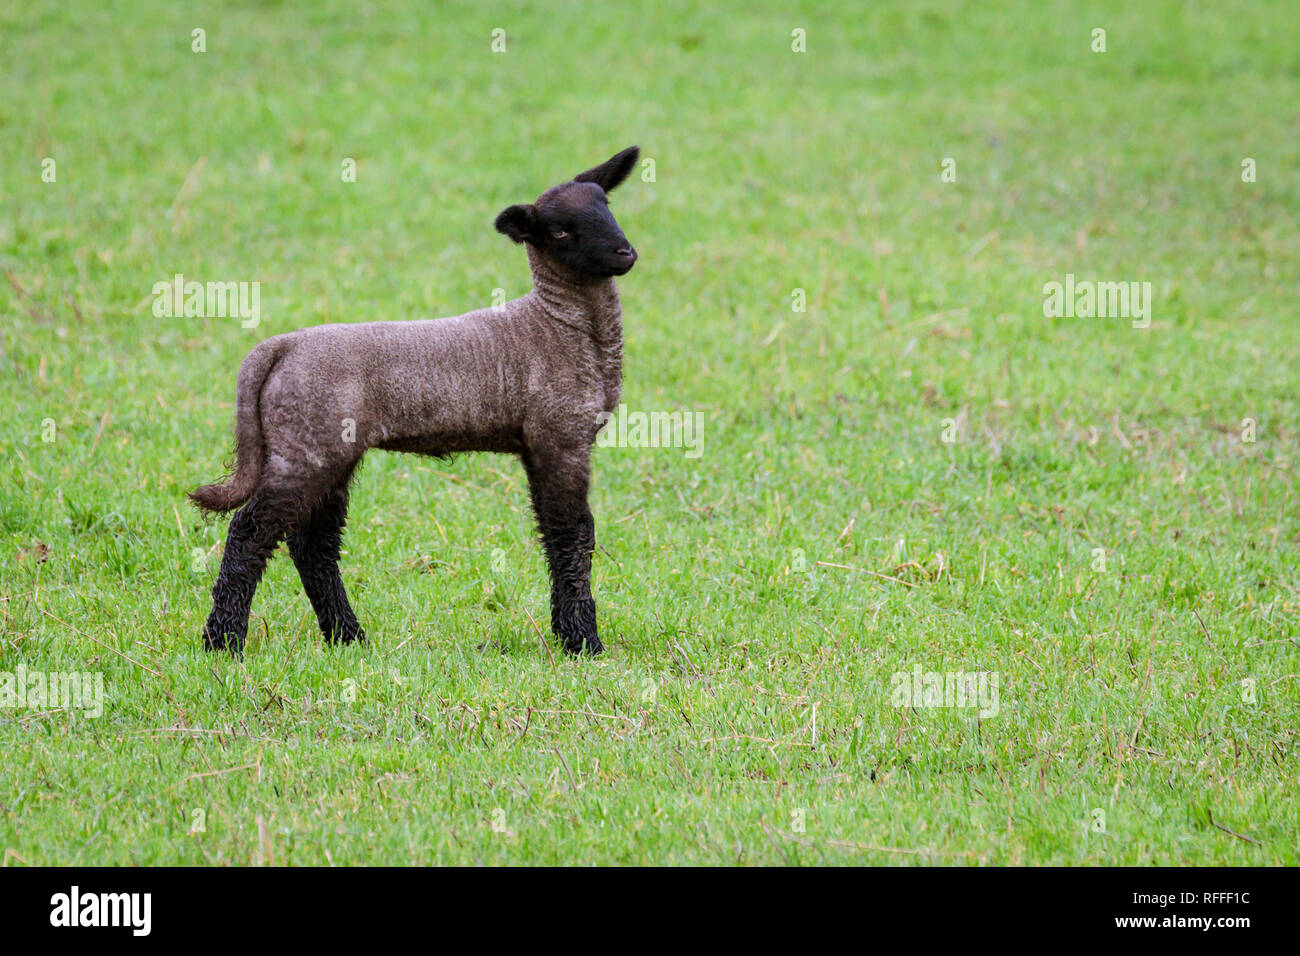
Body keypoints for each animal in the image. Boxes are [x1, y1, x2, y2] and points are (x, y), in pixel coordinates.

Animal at [191, 147, 639, 658]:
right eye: (561, 231)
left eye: (608, 206)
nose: (625, 253)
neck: (558, 327)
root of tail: (279, 346)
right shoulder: (561, 437)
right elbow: (573, 536)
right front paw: (584, 642)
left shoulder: (538, 444)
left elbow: (555, 534)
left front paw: (569, 634)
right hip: (305, 448)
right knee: (250, 531)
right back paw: (223, 641)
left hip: (330, 450)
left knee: (313, 545)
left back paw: (347, 637)